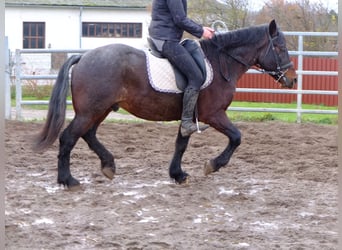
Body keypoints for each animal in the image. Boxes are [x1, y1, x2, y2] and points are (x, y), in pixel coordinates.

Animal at [34, 20, 296, 188]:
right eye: (280, 47)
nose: (292, 79)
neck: (220, 62)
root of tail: (84, 56)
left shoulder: (190, 117)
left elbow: (181, 144)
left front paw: (177, 174)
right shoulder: (214, 114)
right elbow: (236, 137)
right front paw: (212, 165)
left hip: (101, 110)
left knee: (88, 135)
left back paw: (108, 166)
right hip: (90, 111)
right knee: (69, 138)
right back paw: (68, 180)